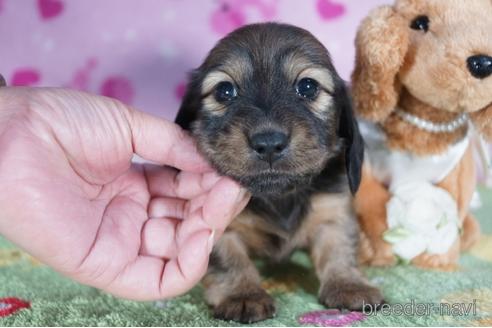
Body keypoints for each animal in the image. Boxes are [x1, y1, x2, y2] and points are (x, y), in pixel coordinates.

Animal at [175, 23, 382, 322]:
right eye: (224, 91)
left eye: (307, 87)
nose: (269, 143)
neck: (279, 196)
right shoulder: (217, 223)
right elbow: (230, 259)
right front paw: (243, 294)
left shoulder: (333, 212)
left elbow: (339, 248)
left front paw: (349, 284)